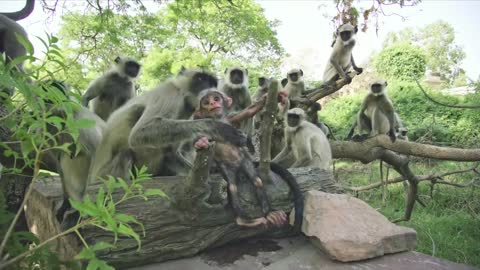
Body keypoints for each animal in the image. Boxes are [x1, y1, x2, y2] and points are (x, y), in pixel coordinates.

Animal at [90, 67, 248, 182]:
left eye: (211, 83)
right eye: (200, 79)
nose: (208, 91)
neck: (183, 97)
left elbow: (172, 154)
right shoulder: (170, 94)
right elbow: (138, 134)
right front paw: (219, 128)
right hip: (104, 175)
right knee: (127, 149)